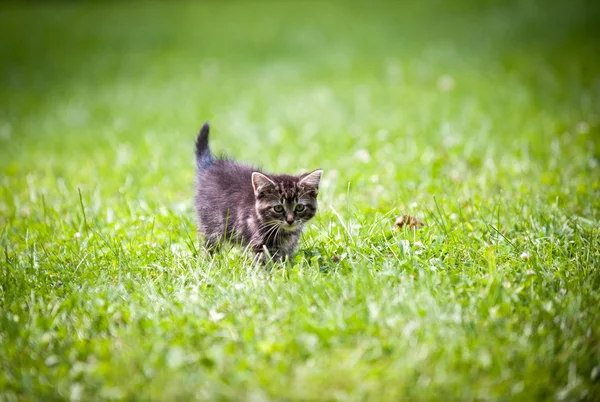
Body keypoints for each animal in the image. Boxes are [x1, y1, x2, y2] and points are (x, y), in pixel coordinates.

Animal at [195, 121, 322, 264]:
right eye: (278, 208)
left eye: (299, 207)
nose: (290, 220)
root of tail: (210, 165)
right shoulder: (259, 242)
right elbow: (265, 262)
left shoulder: (288, 244)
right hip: (211, 223)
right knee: (209, 243)